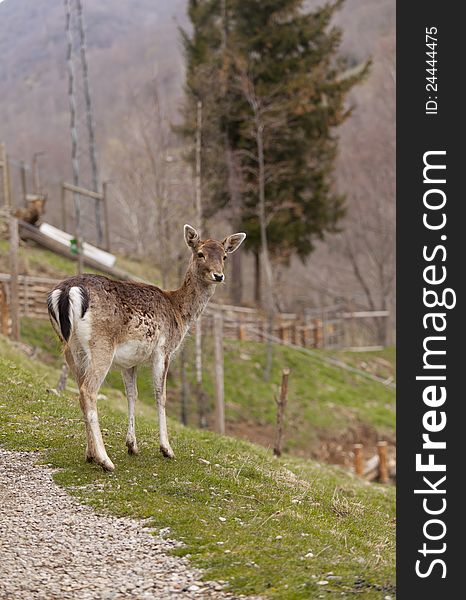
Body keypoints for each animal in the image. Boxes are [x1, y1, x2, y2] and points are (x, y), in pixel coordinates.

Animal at [46, 223, 246, 472]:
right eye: (200, 253)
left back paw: (90, 454)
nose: (218, 275)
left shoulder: (129, 361)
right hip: (102, 345)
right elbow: (160, 394)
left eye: (225, 256)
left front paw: (132, 445)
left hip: (70, 348)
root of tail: (65, 292)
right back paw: (105, 460)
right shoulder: (164, 350)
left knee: (81, 390)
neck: (179, 312)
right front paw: (166, 449)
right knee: (88, 391)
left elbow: (132, 395)